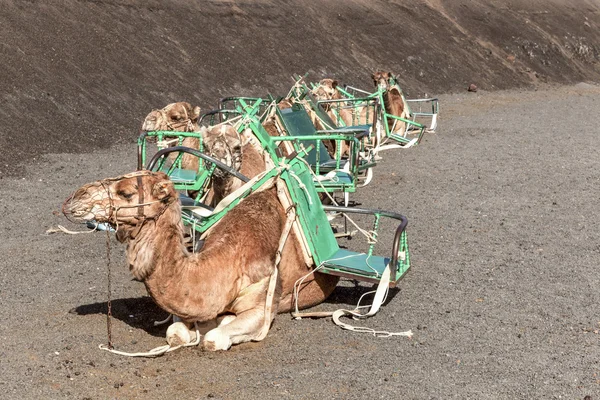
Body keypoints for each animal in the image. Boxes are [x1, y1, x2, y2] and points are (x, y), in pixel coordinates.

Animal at [68, 132, 340, 350]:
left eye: (125, 192)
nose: (74, 199)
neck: (229, 259)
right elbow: (175, 333)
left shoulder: (264, 299)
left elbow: (213, 339)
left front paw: (225, 323)